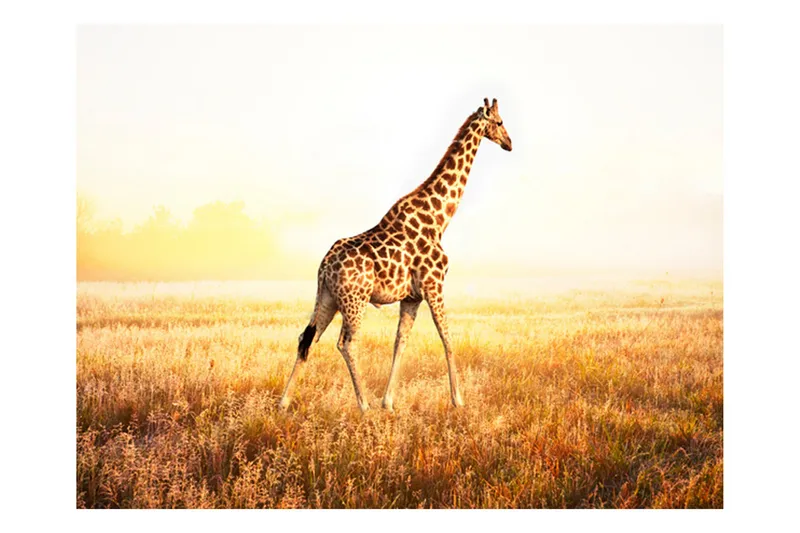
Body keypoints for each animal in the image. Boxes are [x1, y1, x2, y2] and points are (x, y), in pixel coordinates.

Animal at [279, 97, 512, 413]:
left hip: (327, 297)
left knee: (307, 337)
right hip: (354, 300)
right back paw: (363, 405)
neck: (439, 218)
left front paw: (388, 402)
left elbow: (400, 342)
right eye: (499, 122)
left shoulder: (412, 296)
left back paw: (284, 402)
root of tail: (324, 266)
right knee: (346, 343)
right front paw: (458, 400)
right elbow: (447, 337)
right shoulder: (434, 285)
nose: (509, 143)